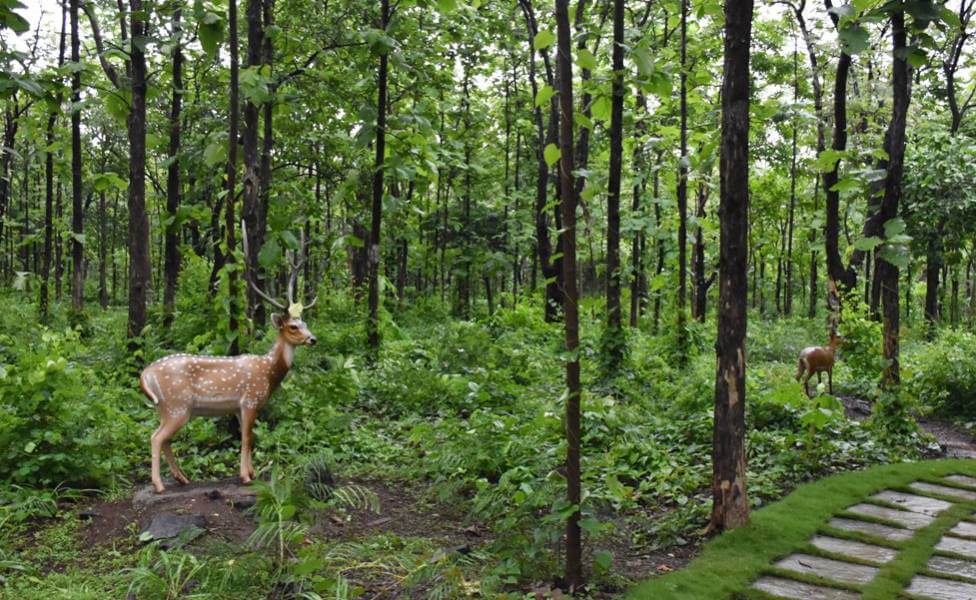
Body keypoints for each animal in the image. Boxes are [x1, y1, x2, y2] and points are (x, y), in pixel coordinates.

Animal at [140, 225, 316, 492]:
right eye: (293, 327)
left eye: (305, 323)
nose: (313, 339)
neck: (268, 372)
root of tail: (145, 374)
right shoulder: (250, 400)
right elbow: (247, 438)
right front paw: (245, 477)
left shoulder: (238, 408)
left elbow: (248, 438)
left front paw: (252, 472)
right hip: (177, 405)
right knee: (156, 437)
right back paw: (159, 485)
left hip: (166, 407)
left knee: (163, 438)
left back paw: (182, 478)